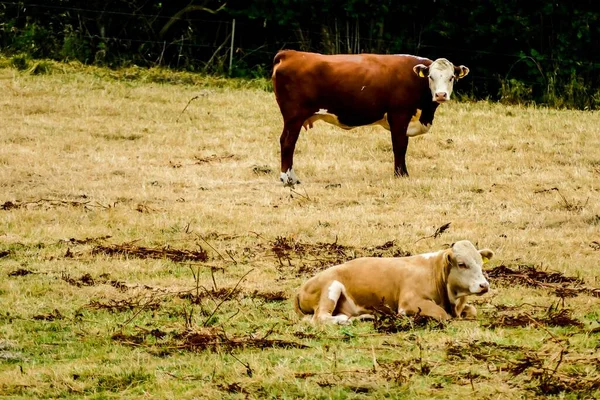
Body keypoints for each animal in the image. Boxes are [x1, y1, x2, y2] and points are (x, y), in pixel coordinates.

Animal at [272, 50, 468, 186]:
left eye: (451, 77)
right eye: (431, 77)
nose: (441, 95)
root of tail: (291, 53)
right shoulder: (399, 115)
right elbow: (400, 146)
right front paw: (400, 174)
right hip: (294, 117)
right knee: (288, 142)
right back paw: (288, 178)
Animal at [292, 239, 494, 324]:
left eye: (480, 263)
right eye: (462, 264)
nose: (484, 285)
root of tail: (301, 288)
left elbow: (472, 310)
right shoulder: (410, 302)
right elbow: (441, 314)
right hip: (331, 287)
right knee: (320, 317)